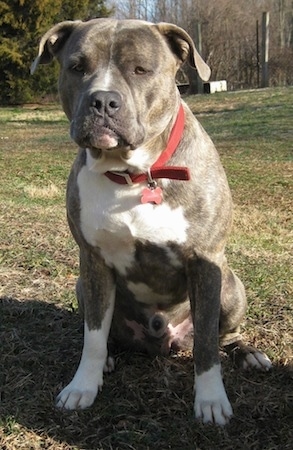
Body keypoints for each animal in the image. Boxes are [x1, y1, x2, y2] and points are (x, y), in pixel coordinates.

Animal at [30, 17, 270, 426]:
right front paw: (83, 385)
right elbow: (93, 337)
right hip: (81, 286)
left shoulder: (204, 262)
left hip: (231, 287)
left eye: (141, 70)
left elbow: (207, 346)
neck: (135, 174)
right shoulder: (93, 262)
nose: (103, 100)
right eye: (77, 67)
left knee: (223, 336)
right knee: (106, 332)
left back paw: (247, 354)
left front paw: (210, 400)